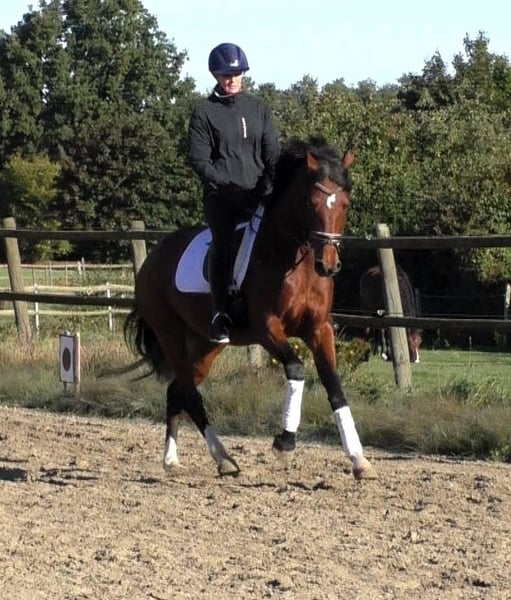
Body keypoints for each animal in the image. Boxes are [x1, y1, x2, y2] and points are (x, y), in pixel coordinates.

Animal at [124, 135, 375, 480]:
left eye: (345, 204)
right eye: (310, 204)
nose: (328, 265)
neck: (293, 258)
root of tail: (152, 258)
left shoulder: (319, 328)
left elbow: (334, 385)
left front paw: (359, 458)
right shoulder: (267, 327)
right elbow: (296, 368)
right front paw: (285, 441)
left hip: (206, 344)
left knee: (177, 390)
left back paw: (175, 459)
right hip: (170, 333)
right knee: (188, 392)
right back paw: (222, 458)